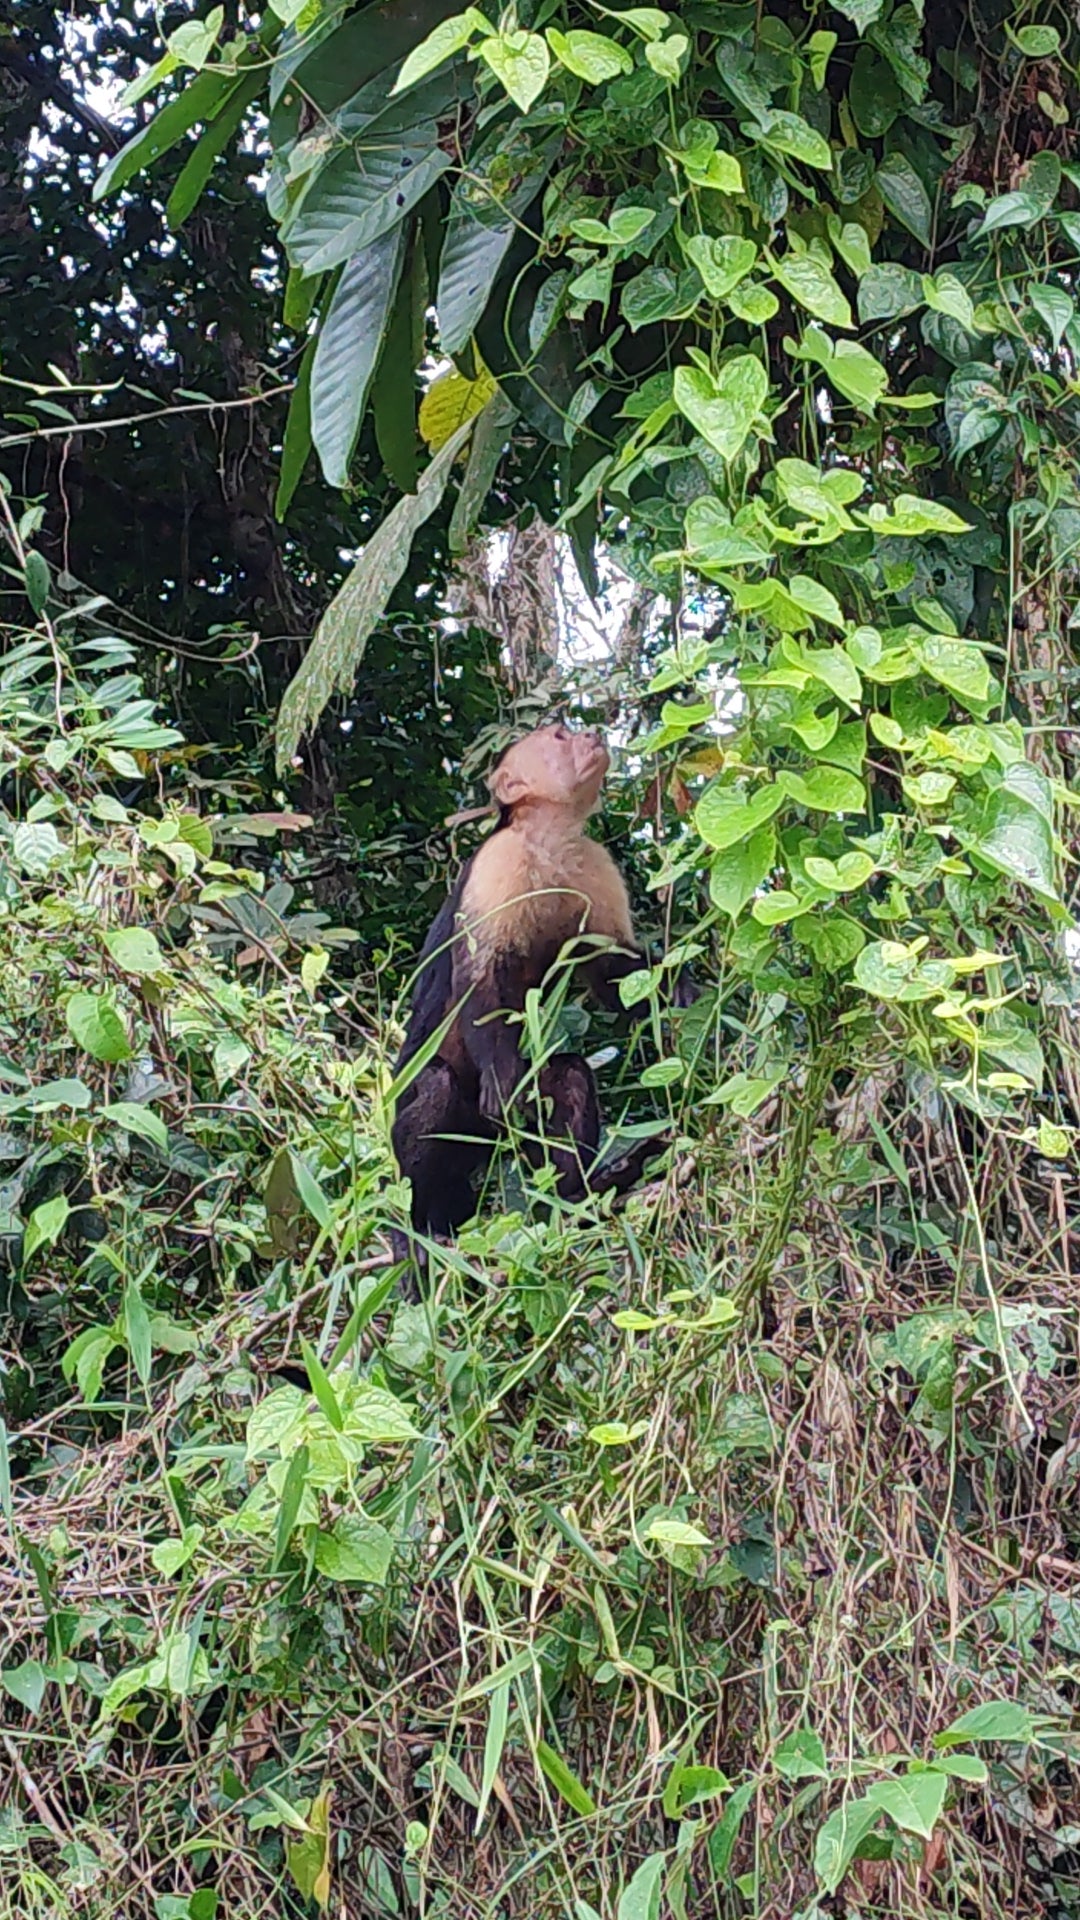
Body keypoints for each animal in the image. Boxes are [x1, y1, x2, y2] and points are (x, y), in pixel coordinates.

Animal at [390, 721, 691, 1259]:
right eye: (558, 737)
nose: (591, 734)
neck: (549, 840)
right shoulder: (498, 862)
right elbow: (479, 980)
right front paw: (500, 1081)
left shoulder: (593, 864)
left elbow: (611, 972)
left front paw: (681, 990)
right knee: (438, 1088)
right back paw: (417, 1229)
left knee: (568, 1079)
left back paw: (574, 1195)